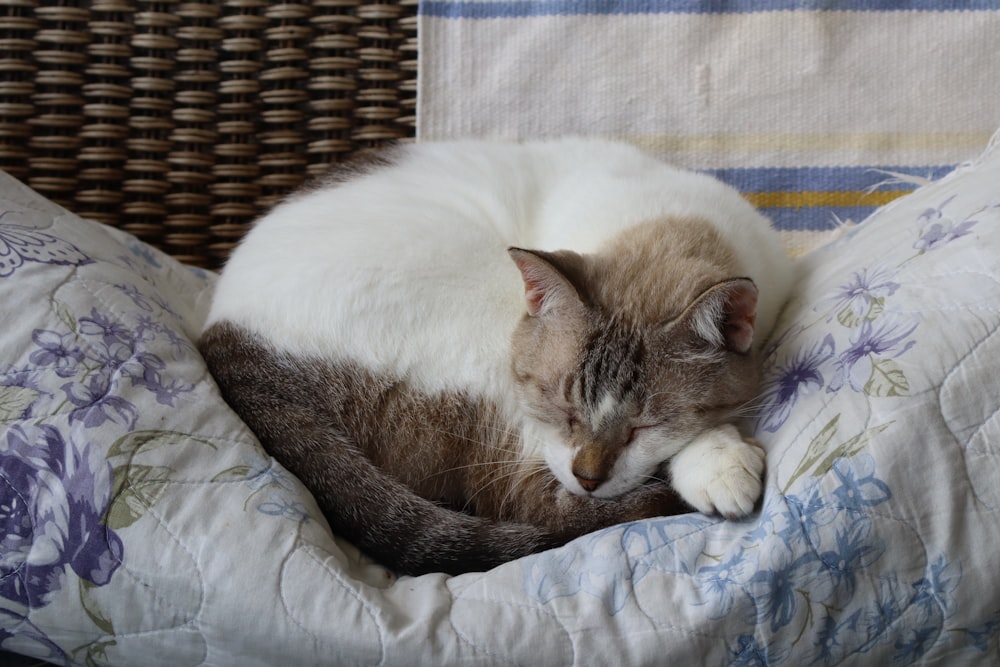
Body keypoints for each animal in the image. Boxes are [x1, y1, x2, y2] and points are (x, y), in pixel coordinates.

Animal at [201, 138, 796, 576]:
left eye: (641, 427)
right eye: (562, 409)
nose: (588, 477)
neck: (666, 220)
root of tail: (222, 333)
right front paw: (720, 465)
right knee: (524, 503)